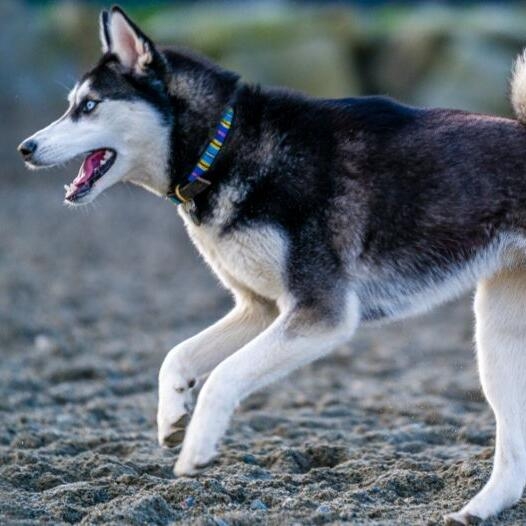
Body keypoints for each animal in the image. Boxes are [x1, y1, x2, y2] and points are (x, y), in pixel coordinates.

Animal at [18, 6, 526, 524]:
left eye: (89, 106)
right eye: (71, 105)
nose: (25, 148)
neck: (222, 146)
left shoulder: (320, 313)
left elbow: (224, 377)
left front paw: (197, 446)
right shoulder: (260, 307)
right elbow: (177, 356)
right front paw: (172, 415)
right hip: (497, 339)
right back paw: (481, 506)